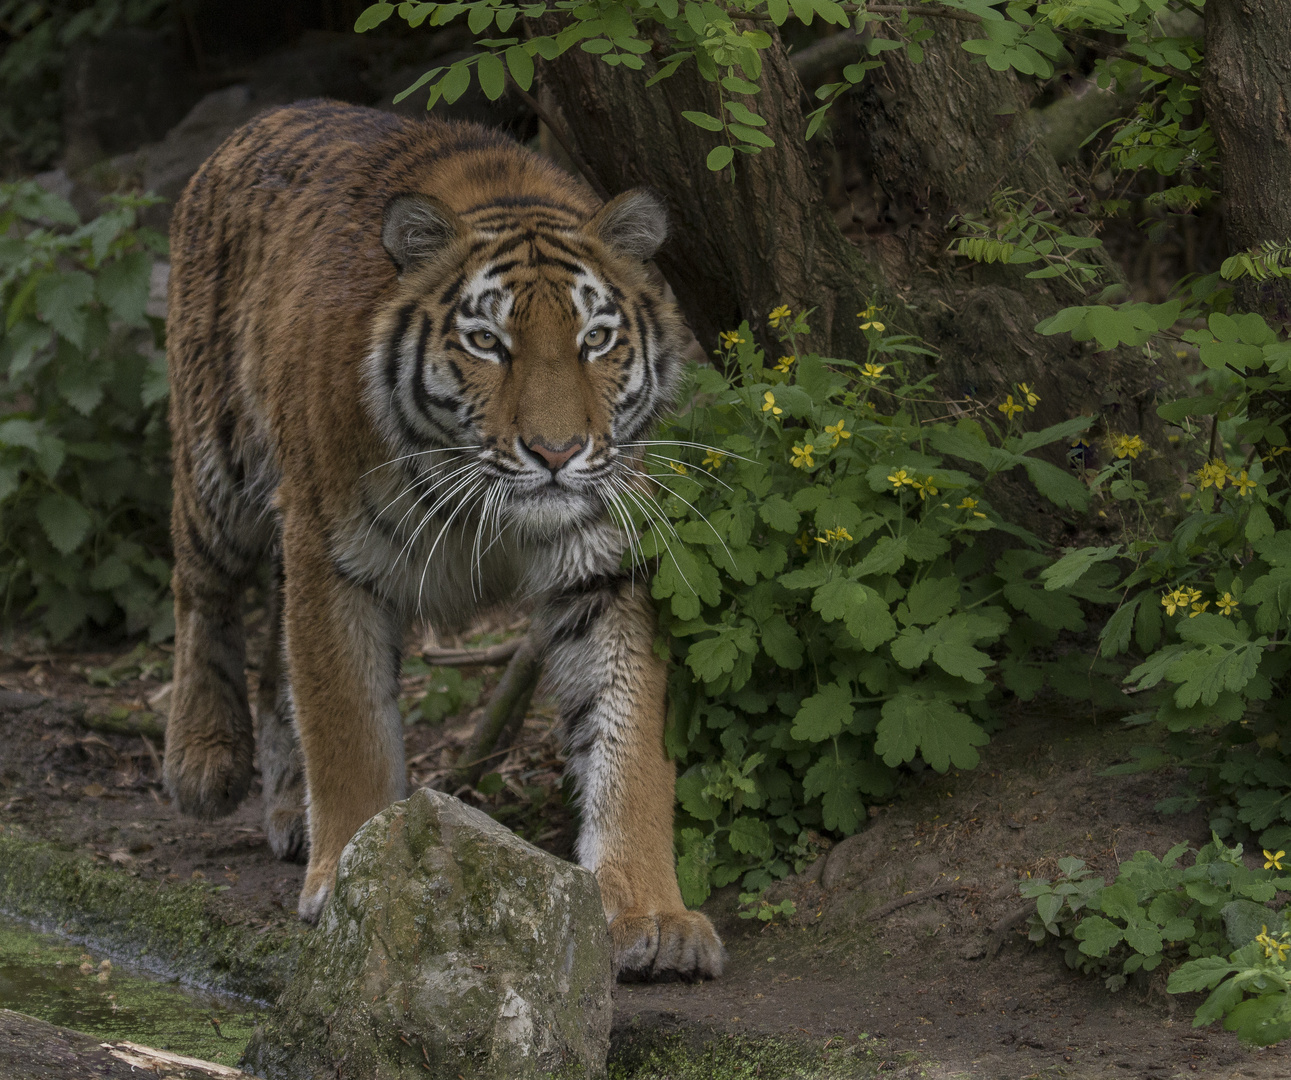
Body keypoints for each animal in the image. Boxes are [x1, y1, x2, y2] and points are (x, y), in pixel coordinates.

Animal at [162, 98, 728, 975]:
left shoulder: (603, 568)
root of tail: (263, 116)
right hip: (219, 454)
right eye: (487, 342)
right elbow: (348, 725)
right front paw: (347, 875)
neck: (490, 511)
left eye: (595, 340)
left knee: (270, 657)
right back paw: (202, 760)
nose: (558, 453)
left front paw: (650, 913)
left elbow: (627, 740)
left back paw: (290, 809)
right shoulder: (331, 558)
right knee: (200, 582)